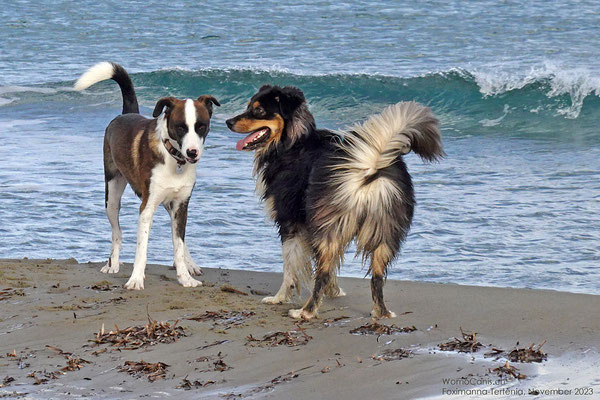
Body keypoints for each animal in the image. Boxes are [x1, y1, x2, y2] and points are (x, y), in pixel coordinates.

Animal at [74, 61, 219, 288]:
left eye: (201, 127)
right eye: (180, 127)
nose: (192, 153)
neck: (173, 157)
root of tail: (125, 114)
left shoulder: (180, 205)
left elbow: (178, 244)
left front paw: (184, 276)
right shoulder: (146, 208)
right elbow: (141, 249)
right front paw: (135, 279)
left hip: (167, 204)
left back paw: (190, 264)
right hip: (112, 197)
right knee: (117, 232)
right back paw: (112, 263)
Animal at [227, 86, 442, 320]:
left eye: (258, 110)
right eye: (249, 106)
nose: (228, 122)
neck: (294, 142)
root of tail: (367, 166)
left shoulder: (290, 221)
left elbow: (290, 267)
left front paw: (279, 298)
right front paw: (334, 291)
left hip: (328, 227)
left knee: (321, 273)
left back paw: (305, 311)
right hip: (384, 230)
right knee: (376, 277)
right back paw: (381, 313)